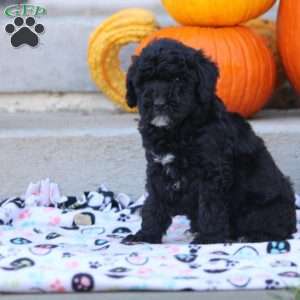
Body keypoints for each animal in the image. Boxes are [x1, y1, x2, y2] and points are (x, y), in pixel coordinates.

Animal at [123, 38, 296, 244]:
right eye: (145, 81)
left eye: (178, 79)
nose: (159, 104)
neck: (177, 130)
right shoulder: (157, 167)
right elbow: (154, 203)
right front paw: (145, 236)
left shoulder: (212, 171)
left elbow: (210, 206)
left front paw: (208, 238)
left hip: (265, 209)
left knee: (274, 227)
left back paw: (250, 236)